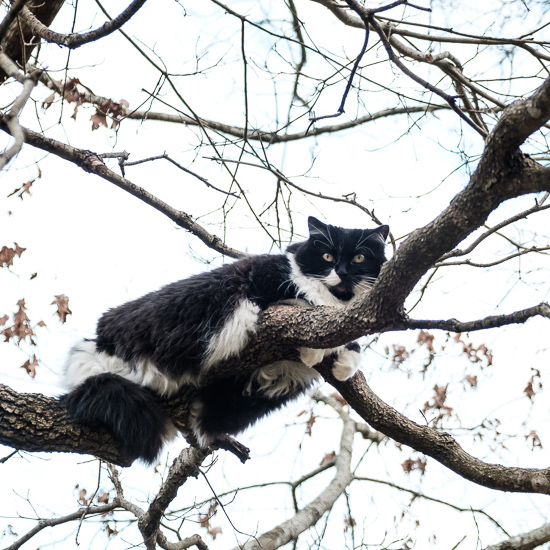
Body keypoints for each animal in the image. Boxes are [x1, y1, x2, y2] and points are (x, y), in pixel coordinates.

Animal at [59, 217, 388, 466]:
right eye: (327, 256)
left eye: (359, 257)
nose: (342, 272)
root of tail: (97, 342)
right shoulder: (271, 291)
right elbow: (306, 307)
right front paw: (318, 349)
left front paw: (344, 360)